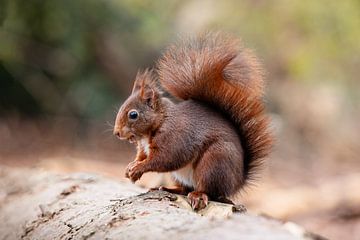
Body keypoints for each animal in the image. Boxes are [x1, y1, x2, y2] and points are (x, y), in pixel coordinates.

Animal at [114, 32, 272, 210]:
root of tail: (237, 182)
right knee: (185, 188)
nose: (117, 132)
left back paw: (198, 195)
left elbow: (165, 159)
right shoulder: (143, 148)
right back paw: (169, 188)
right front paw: (131, 166)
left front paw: (138, 169)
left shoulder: (175, 138)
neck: (159, 122)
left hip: (214, 163)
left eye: (133, 114)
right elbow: (141, 156)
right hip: (179, 175)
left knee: (211, 191)